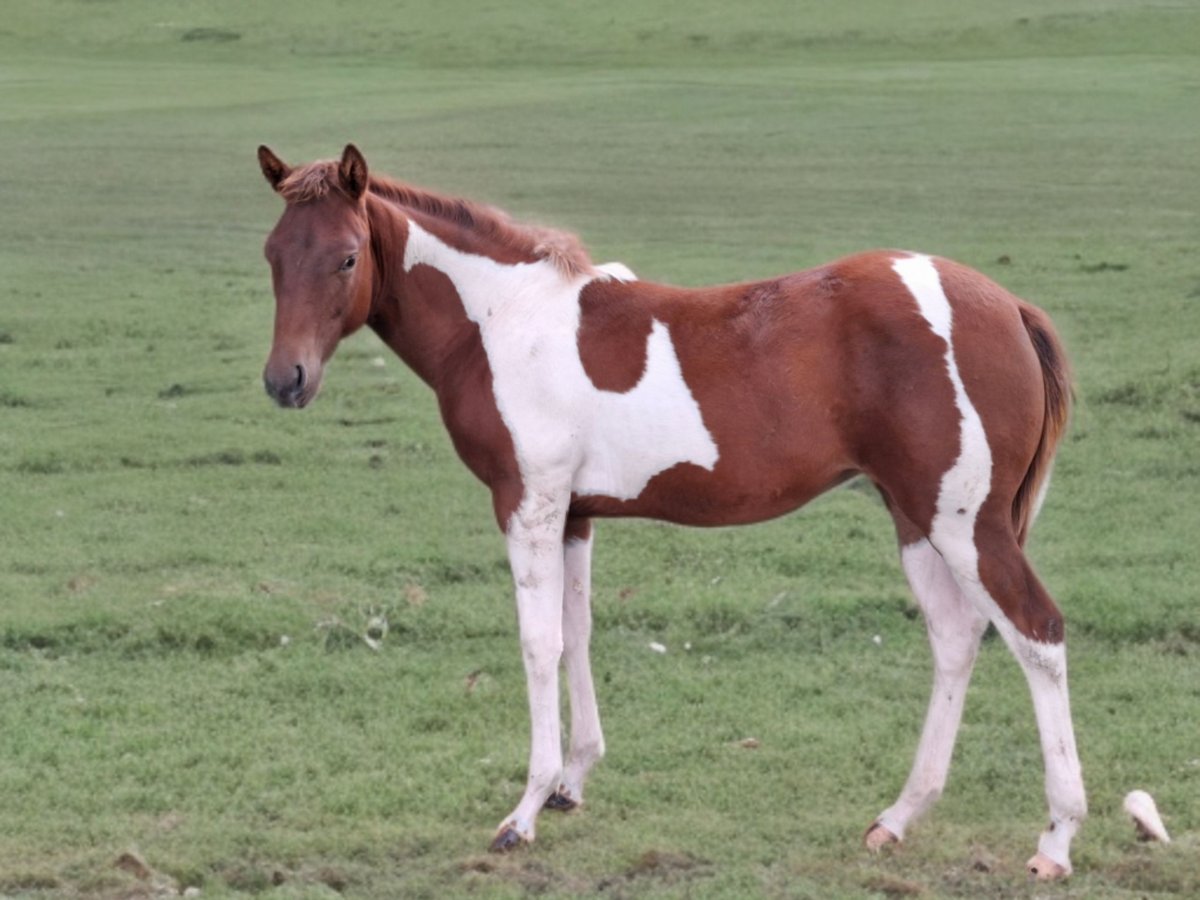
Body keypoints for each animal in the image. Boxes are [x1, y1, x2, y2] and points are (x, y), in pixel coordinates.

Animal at [258, 142, 1084, 883]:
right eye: (272, 255)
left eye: (346, 258)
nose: (284, 380)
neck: (499, 322)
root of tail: (1008, 306)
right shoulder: (573, 515)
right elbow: (577, 634)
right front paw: (571, 785)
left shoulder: (528, 504)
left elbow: (538, 645)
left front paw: (523, 813)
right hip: (917, 518)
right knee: (957, 637)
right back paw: (898, 818)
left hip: (965, 525)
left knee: (1036, 632)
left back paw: (1055, 840)